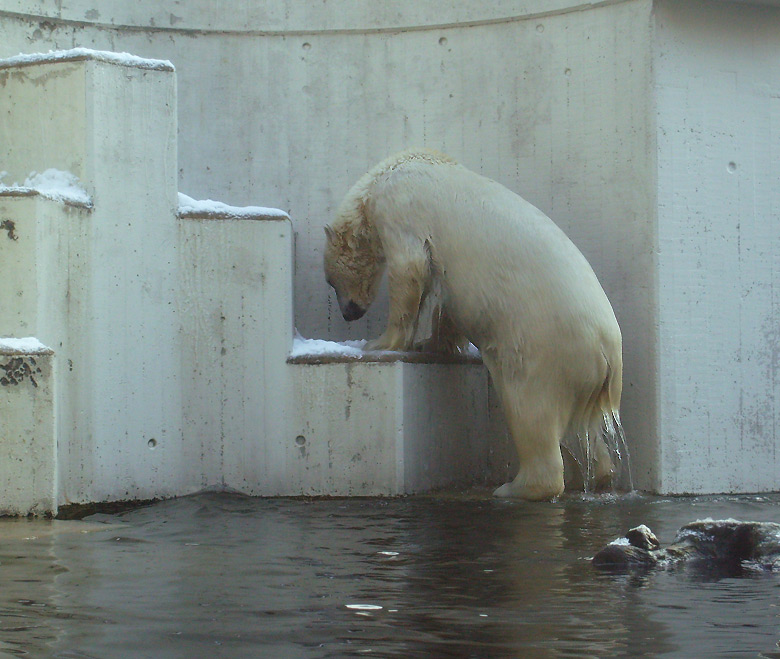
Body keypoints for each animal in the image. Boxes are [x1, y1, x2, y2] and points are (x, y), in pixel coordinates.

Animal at [322, 150, 620, 500]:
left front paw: (382, 342)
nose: (349, 313)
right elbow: (444, 303)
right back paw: (594, 476)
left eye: (330, 281)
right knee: (582, 428)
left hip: (544, 349)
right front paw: (433, 345)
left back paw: (514, 487)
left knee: (530, 410)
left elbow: (409, 269)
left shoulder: (400, 207)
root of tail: (608, 351)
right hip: (584, 377)